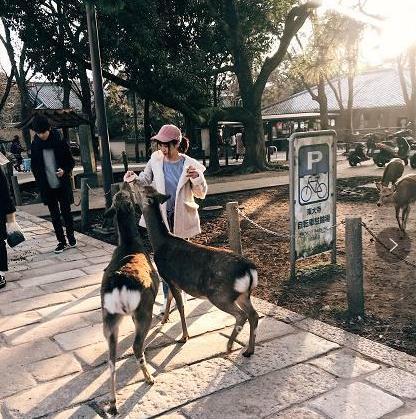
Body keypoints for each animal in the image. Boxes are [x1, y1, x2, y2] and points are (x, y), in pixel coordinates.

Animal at [101, 184, 159, 416]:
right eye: (131, 196)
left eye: (120, 196)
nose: (125, 183)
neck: (130, 244)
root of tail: (119, 286)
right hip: (144, 310)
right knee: (136, 346)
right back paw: (150, 378)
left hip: (108, 316)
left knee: (111, 359)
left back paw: (113, 403)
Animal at [129, 180, 260, 358]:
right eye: (146, 186)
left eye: (142, 188)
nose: (133, 180)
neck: (159, 244)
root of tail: (249, 270)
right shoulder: (171, 279)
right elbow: (169, 298)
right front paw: (164, 319)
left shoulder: (170, 277)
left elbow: (181, 307)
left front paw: (184, 337)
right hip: (242, 294)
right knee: (254, 315)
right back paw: (249, 350)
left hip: (220, 295)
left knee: (241, 315)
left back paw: (229, 346)